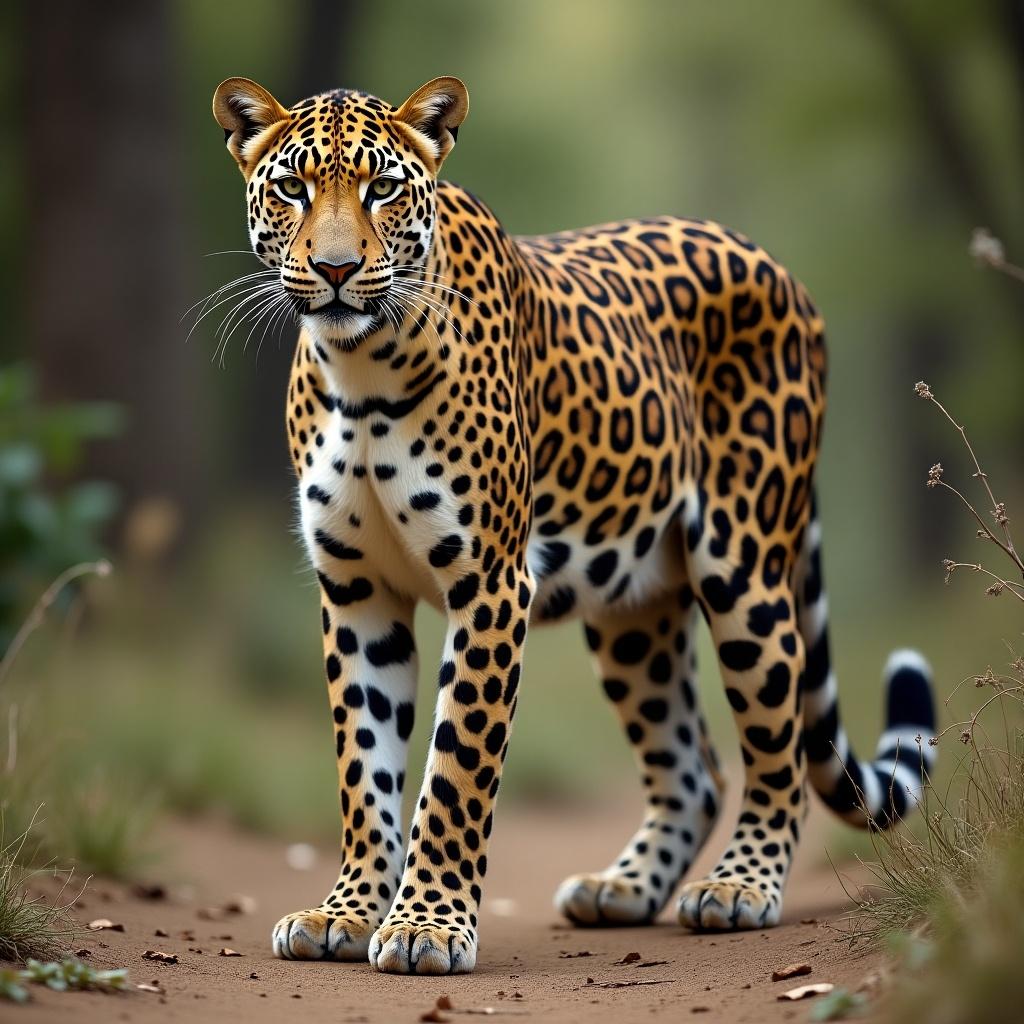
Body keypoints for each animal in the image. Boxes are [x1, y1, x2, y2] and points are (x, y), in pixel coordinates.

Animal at [209, 74, 937, 974]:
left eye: (380, 189)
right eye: (291, 188)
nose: (336, 269)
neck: (360, 370)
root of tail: (772, 262)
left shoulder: (490, 584)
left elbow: (456, 769)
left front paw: (424, 926)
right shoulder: (356, 589)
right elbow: (362, 763)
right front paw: (344, 911)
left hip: (744, 568)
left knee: (778, 751)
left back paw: (739, 888)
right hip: (633, 611)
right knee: (692, 767)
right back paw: (620, 888)